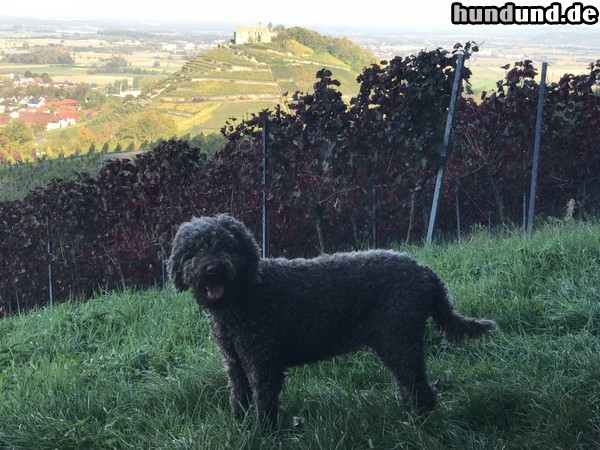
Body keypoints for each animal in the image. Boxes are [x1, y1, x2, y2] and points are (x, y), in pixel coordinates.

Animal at [169, 214, 496, 426]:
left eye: (226, 245)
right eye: (195, 250)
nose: (212, 269)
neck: (243, 296)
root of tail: (426, 270)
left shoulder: (263, 364)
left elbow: (265, 403)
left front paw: (264, 432)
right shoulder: (235, 362)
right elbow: (240, 397)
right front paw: (240, 425)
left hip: (398, 340)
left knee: (421, 389)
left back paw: (420, 423)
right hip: (396, 342)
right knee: (409, 384)